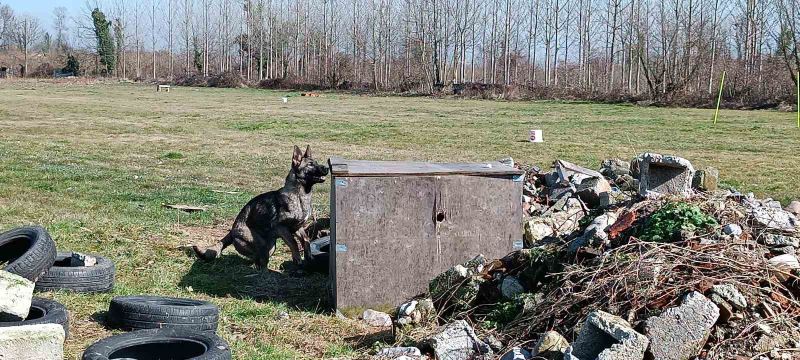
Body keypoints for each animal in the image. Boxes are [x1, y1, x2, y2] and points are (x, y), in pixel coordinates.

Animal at [194, 146, 328, 268]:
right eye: (310, 164)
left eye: (316, 162)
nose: (326, 167)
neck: (300, 196)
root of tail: (232, 232)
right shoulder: (282, 228)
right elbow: (294, 243)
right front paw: (298, 258)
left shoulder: (297, 228)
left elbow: (306, 240)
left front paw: (309, 256)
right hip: (261, 244)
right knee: (258, 257)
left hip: (271, 247)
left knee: (259, 258)